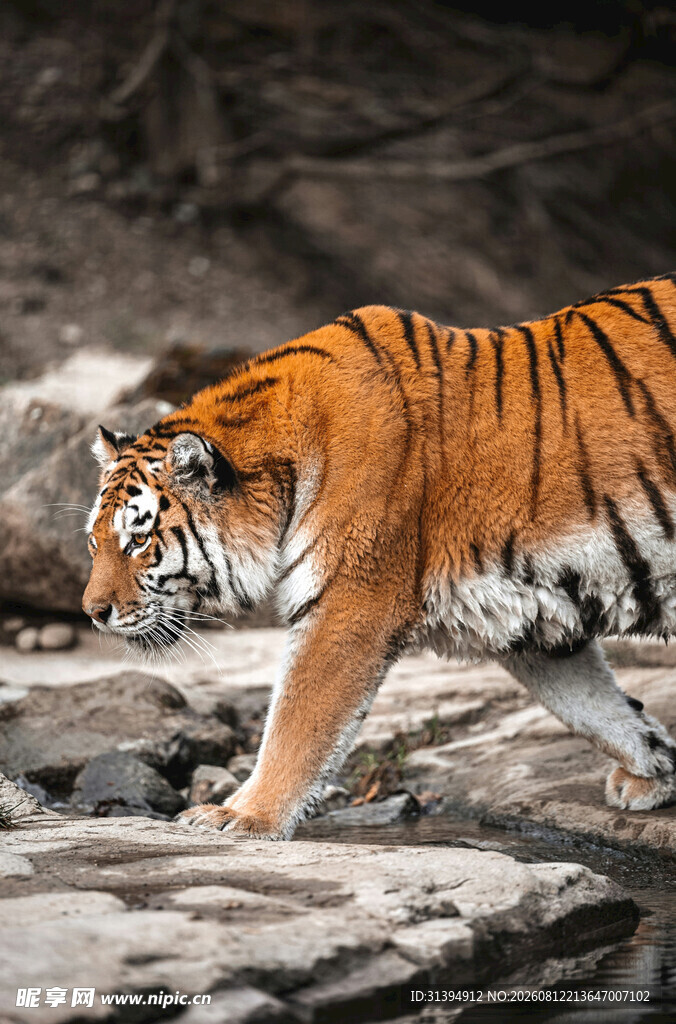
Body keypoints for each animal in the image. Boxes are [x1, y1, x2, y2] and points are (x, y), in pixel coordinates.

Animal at [83, 273, 676, 839]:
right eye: (95, 543)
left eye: (138, 541)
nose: (92, 613)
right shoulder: (530, 606)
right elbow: (594, 706)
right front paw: (655, 769)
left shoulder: (350, 604)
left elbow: (296, 721)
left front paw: (242, 815)